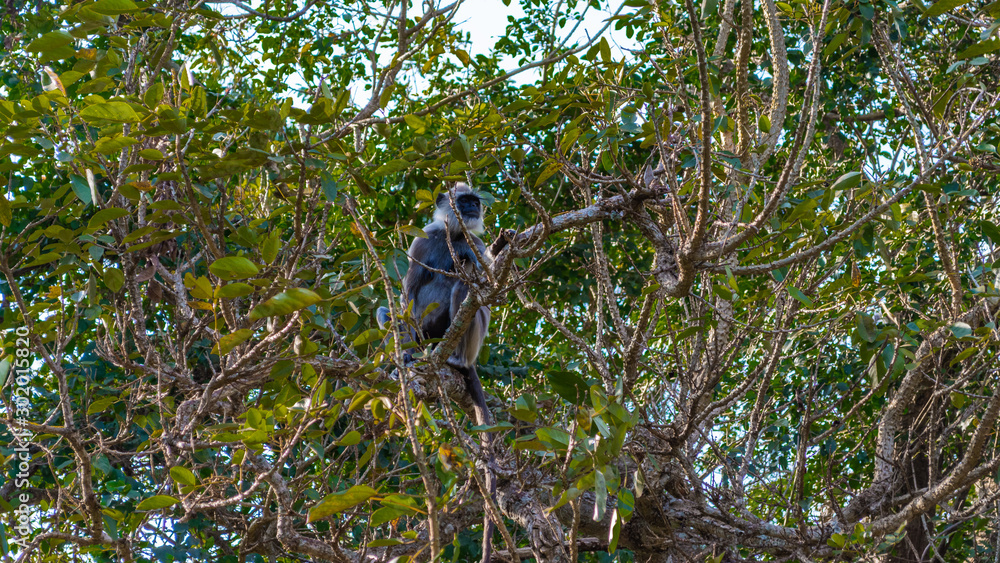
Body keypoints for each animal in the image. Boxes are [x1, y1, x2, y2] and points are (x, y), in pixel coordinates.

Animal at [377, 183, 510, 563]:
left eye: (475, 201)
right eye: (464, 201)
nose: (473, 208)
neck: (452, 235)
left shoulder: (476, 244)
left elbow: (487, 289)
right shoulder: (421, 243)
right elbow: (406, 294)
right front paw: (402, 356)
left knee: (466, 285)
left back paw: (457, 361)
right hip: (423, 334)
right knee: (387, 311)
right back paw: (408, 357)